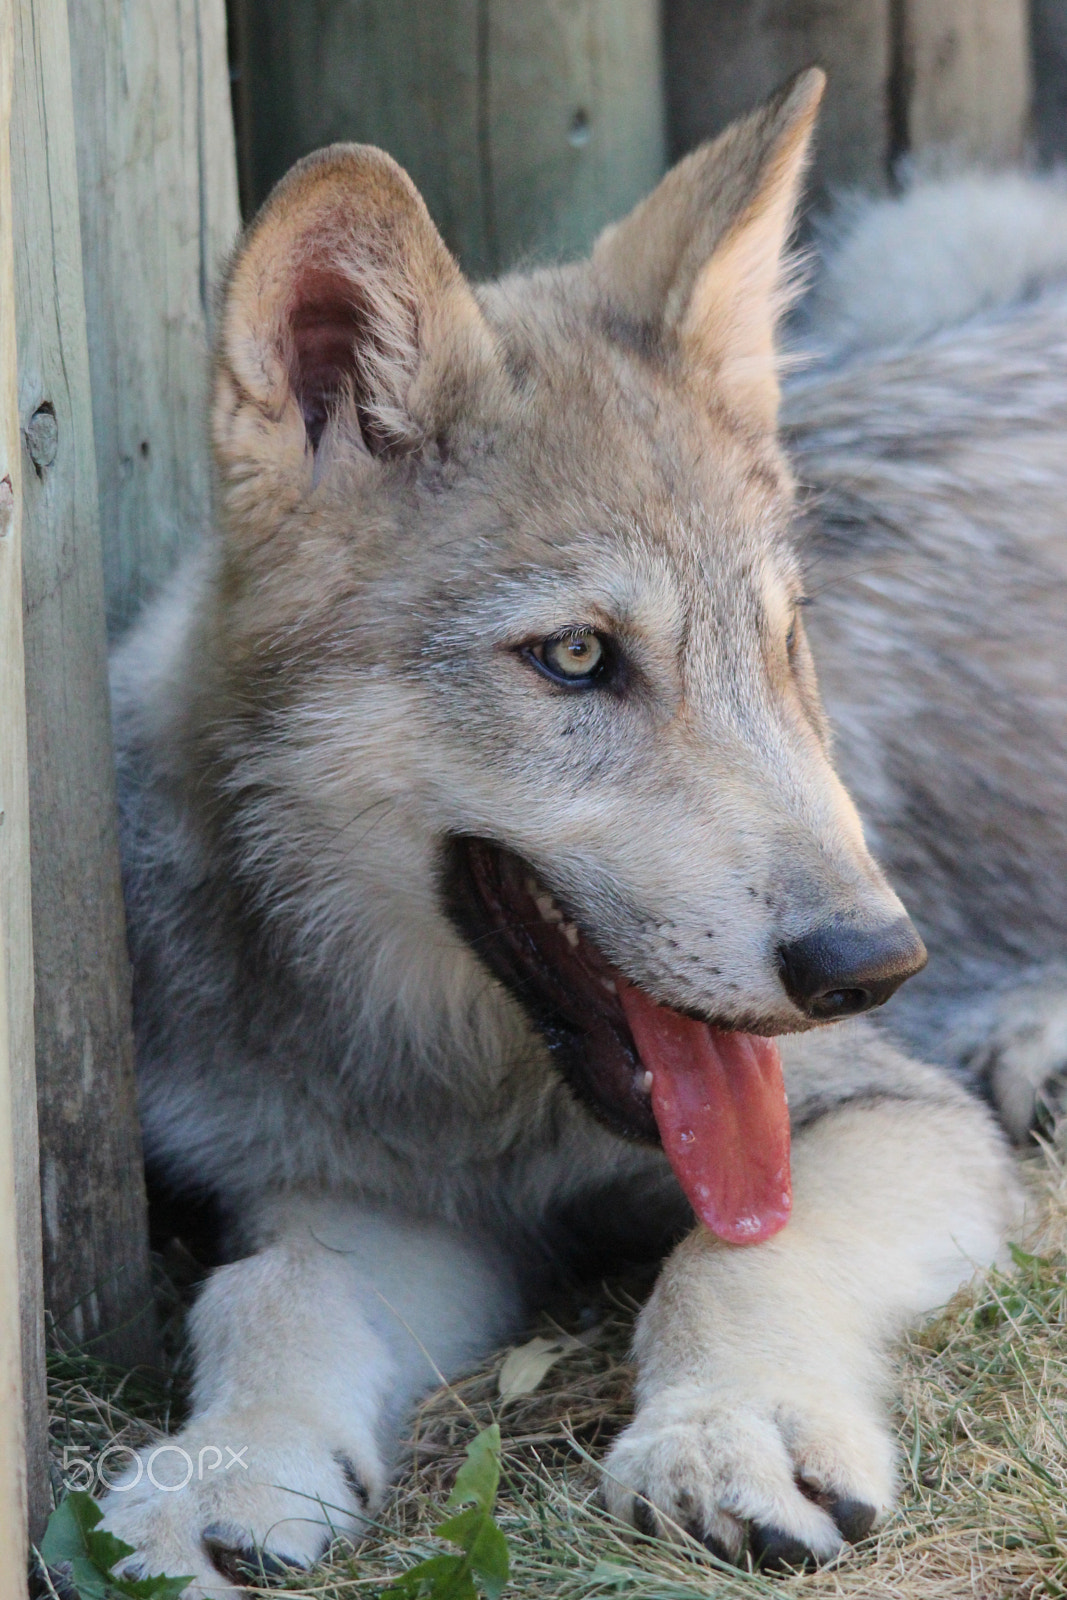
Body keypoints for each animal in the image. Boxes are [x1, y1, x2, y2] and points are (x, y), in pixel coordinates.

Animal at [98, 68, 1067, 1588]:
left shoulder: (890, 1117)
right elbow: (268, 1295)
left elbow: (729, 1257)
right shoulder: (369, 1206)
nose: (872, 965)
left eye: (782, 647)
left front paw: (728, 1431)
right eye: (572, 659)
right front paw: (225, 1476)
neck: (477, 1093)